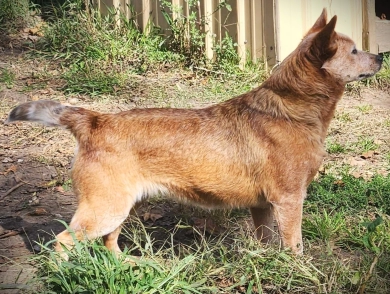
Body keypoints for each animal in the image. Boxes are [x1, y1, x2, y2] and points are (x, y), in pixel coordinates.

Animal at [4, 9, 382, 256]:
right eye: (353, 50)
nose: (380, 55)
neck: (290, 108)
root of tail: (94, 120)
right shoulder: (289, 200)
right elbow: (295, 246)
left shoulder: (263, 207)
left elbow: (266, 240)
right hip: (104, 208)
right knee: (63, 242)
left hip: (119, 206)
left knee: (109, 241)